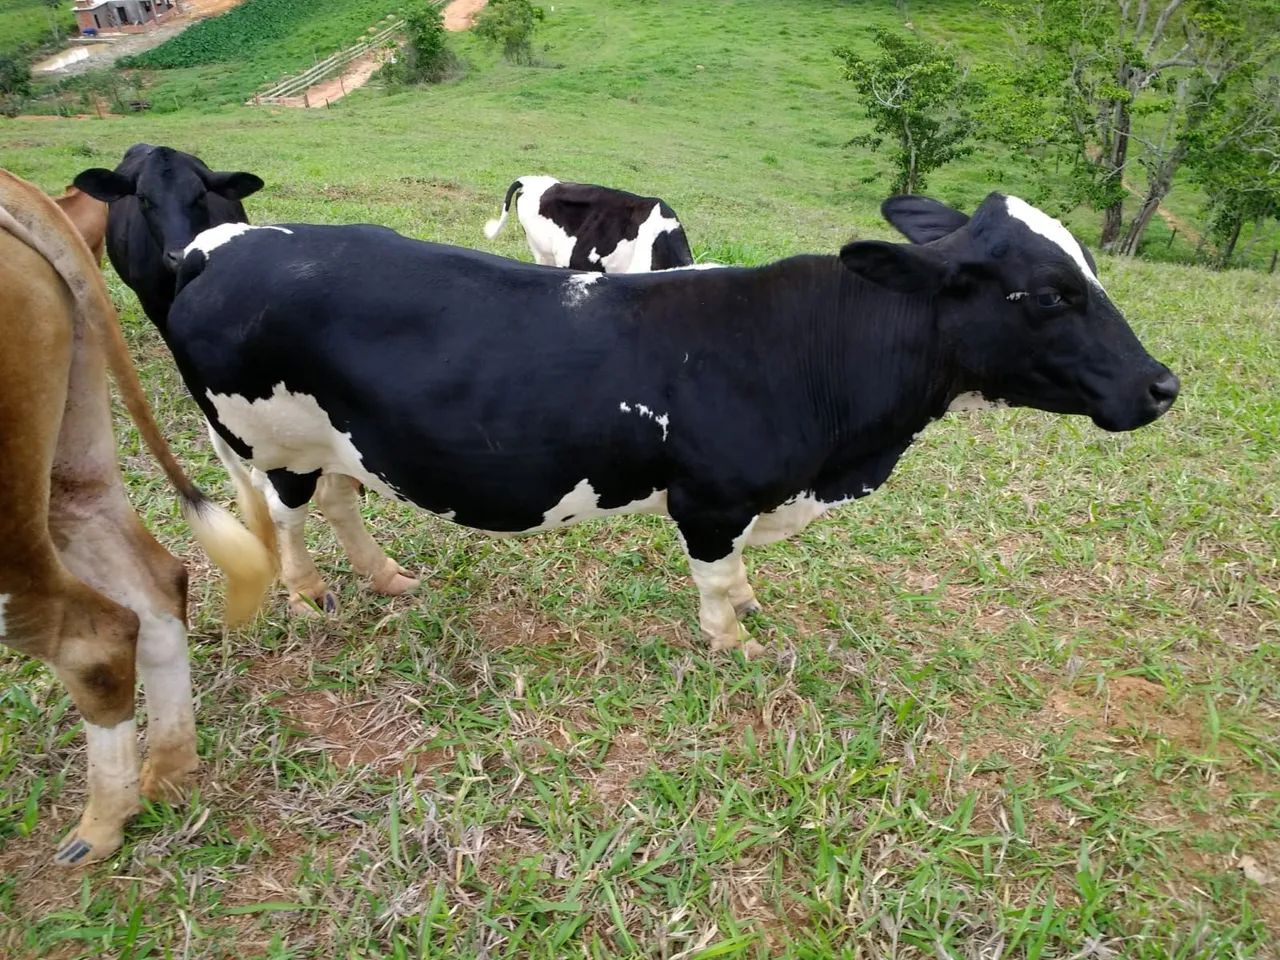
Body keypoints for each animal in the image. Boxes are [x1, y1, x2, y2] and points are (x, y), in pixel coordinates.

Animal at [0, 169, 274, 866]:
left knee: (95, 638)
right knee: (151, 589)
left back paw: (102, 822)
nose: (177, 254)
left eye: (202, 193)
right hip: (69, 473)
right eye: (143, 201)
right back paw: (167, 776)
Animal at [158, 191, 1179, 650]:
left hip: (336, 440)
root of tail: (223, 243)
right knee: (288, 519)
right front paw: (735, 642)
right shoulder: (711, 498)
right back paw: (307, 595)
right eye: (1048, 294)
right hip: (269, 440)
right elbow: (718, 583)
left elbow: (742, 577)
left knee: (339, 501)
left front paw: (754, 609)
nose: (1163, 385)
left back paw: (387, 577)